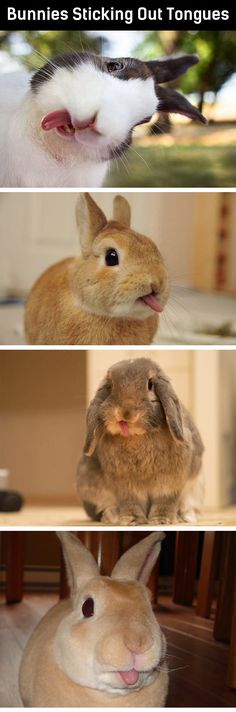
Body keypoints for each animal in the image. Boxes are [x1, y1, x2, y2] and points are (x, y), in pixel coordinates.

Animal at [76, 358, 204, 524]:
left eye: (150, 384)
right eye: (111, 386)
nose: (125, 413)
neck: (136, 437)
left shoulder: (169, 483)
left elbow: (165, 501)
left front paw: (161, 520)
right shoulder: (125, 486)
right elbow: (131, 502)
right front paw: (132, 521)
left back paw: (185, 516)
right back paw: (112, 516)